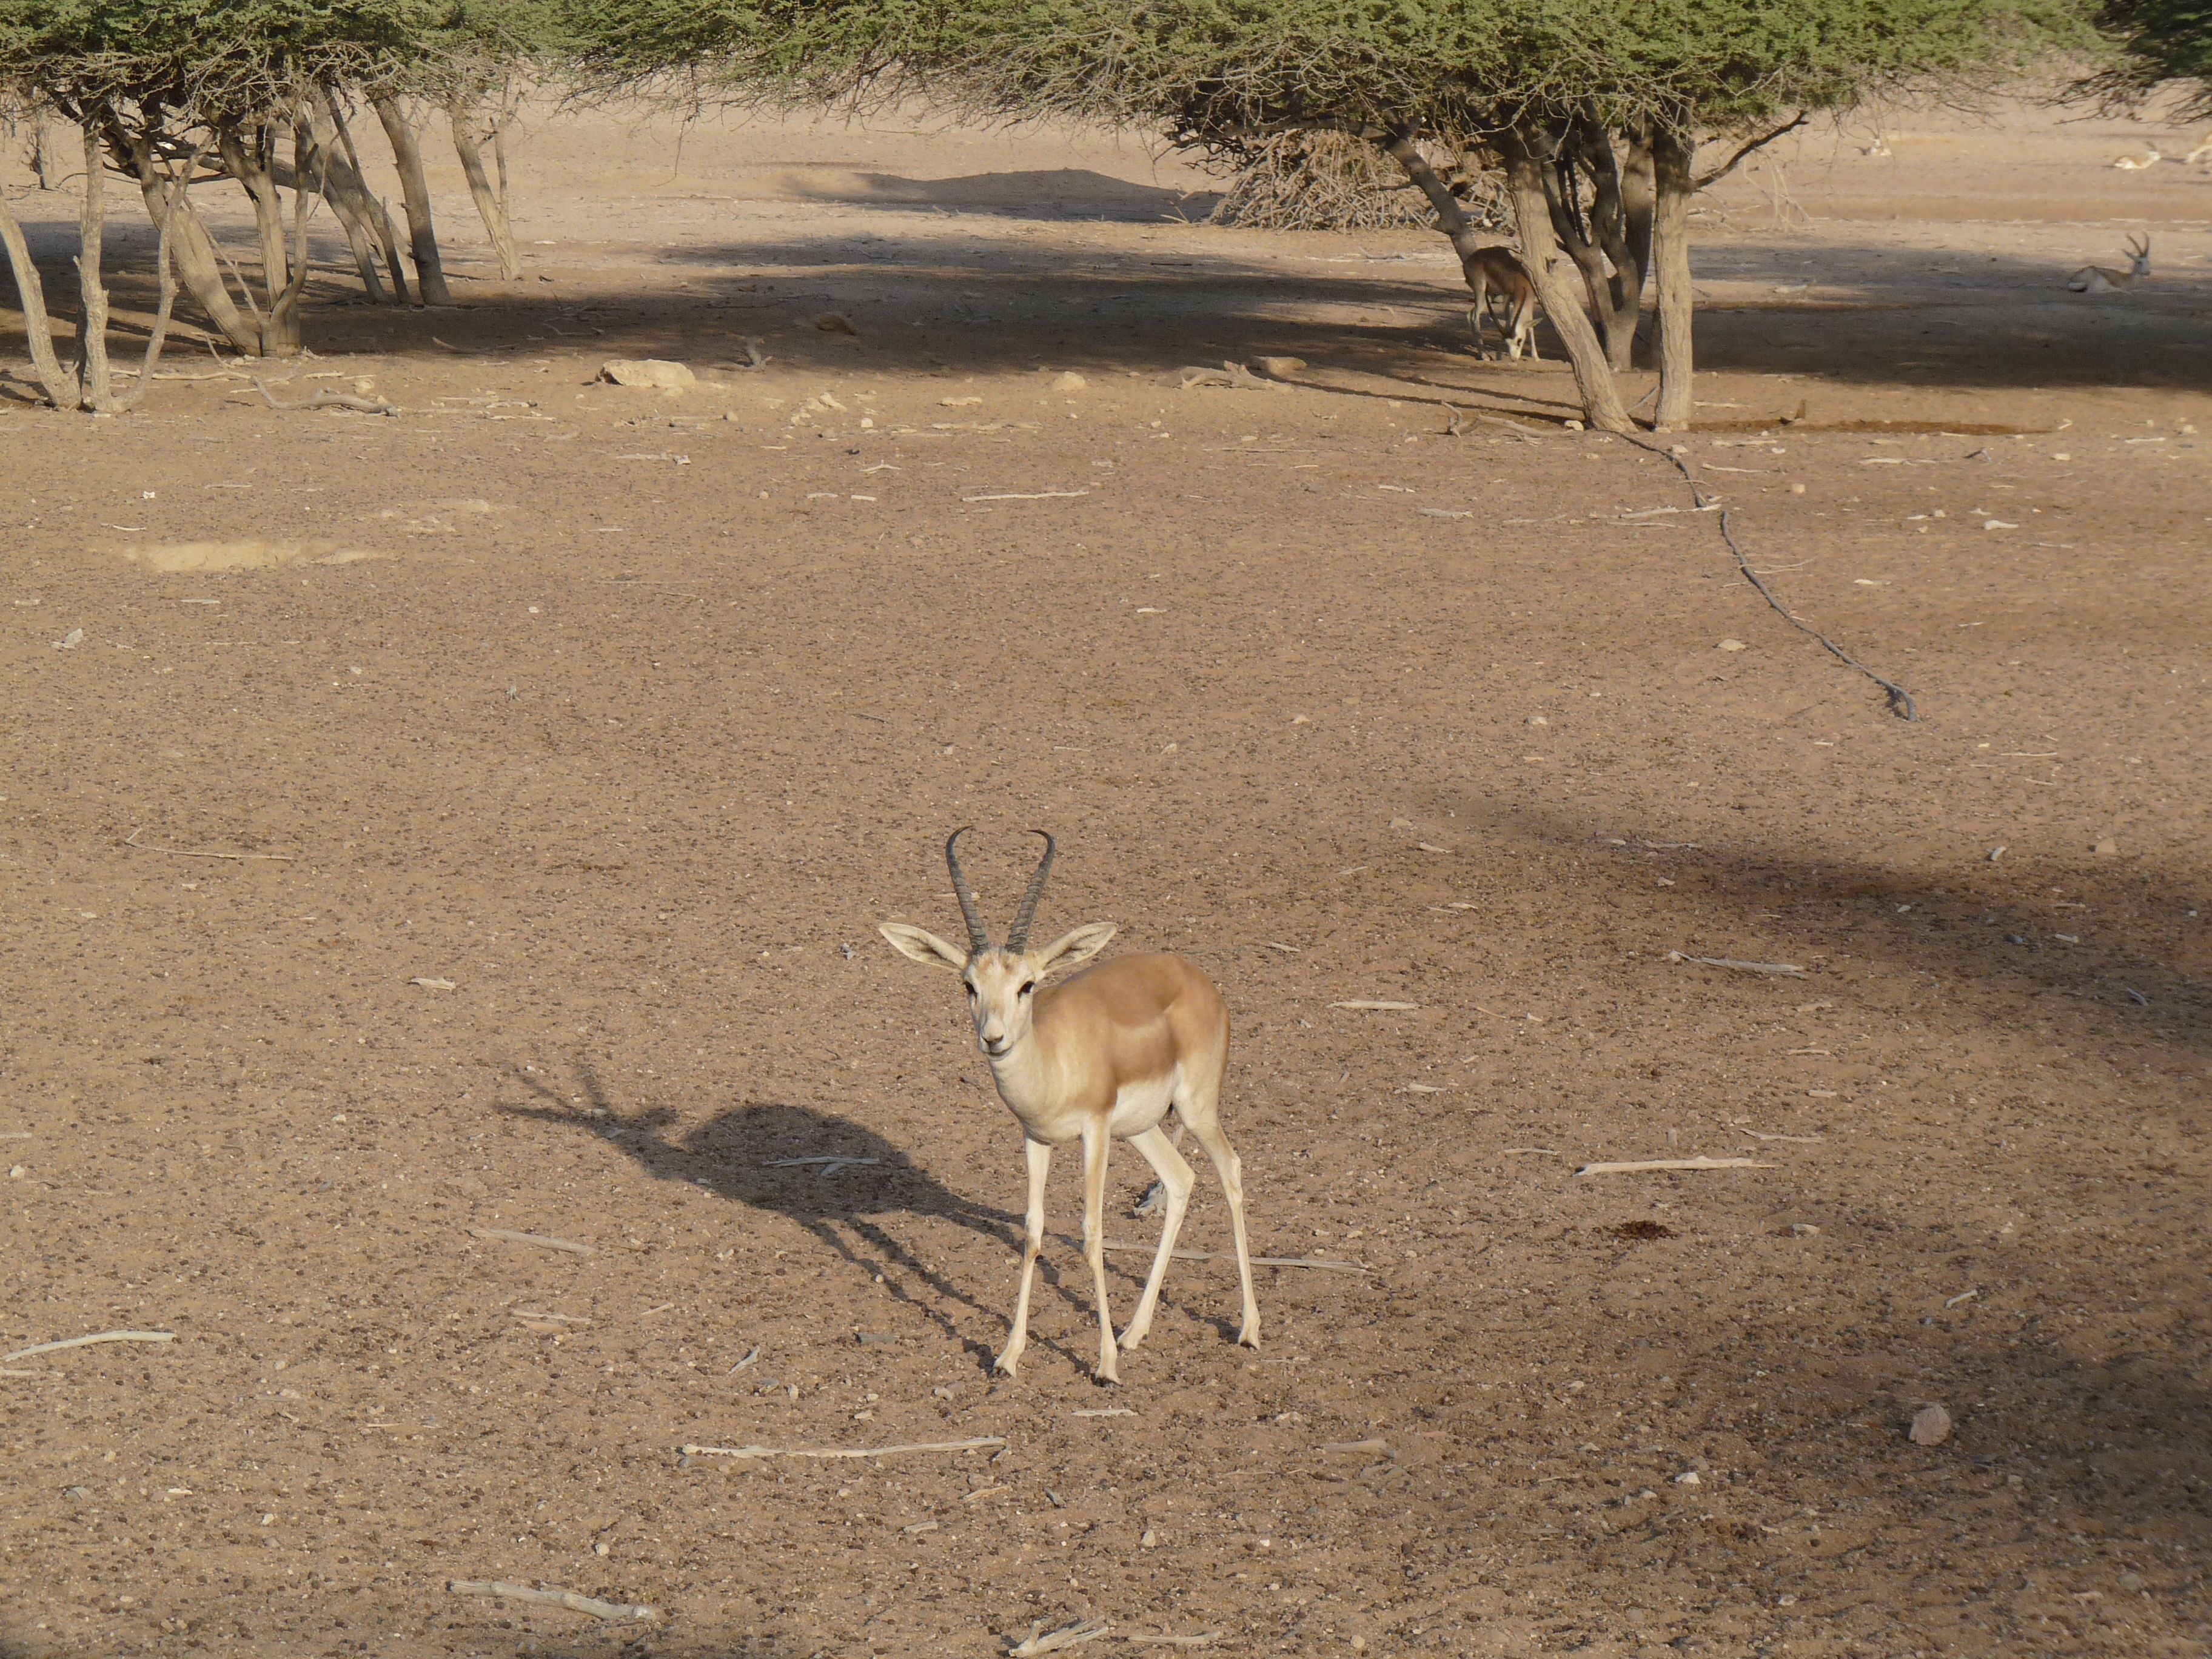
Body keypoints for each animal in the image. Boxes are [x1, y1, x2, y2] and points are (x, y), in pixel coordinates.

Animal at [880, 831, 1265, 1389]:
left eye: (1027, 985)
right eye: (969, 985)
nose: (993, 1039)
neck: (1051, 1058)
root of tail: (1195, 977)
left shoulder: (1094, 1131)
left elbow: (1091, 1233)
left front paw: (1103, 1365)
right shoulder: (1035, 1138)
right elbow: (1034, 1232)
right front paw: (1009, 1356)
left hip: (1195, 1110)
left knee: (1230, 1170)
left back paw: (1248, 1328)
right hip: (1143, 1129)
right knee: (1180, 1181)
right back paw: (1134, 1332)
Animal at [1460, 245, 1530, 363]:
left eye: (1520, 341)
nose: (1514, 358)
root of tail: (1467, 262)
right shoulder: (1508, 297)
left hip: (1486, 297)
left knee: (1470, 314)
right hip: (1481, 292)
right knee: (1474, 317)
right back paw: (1484, 356)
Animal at [2061, 235, 2150, 294]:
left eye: (2148, 261)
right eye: (2139, 261)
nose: (2148, 272)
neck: (2127, 278)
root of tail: (2072, 280)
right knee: (2092, 291)